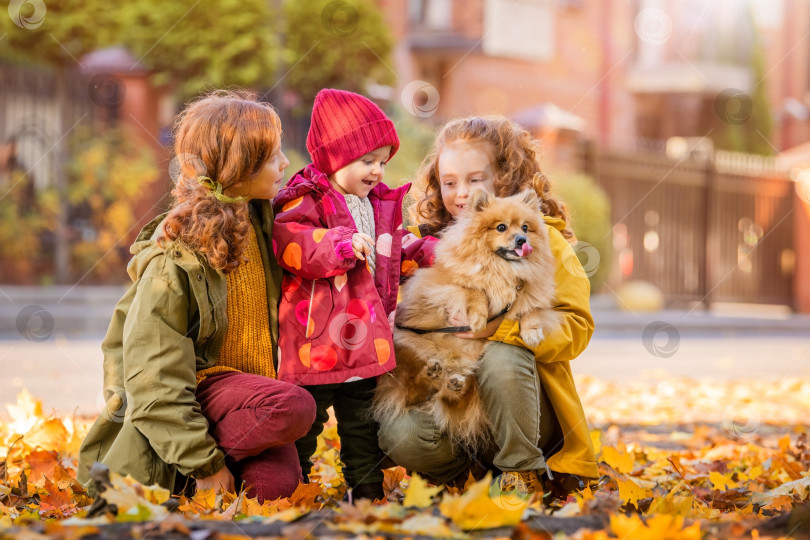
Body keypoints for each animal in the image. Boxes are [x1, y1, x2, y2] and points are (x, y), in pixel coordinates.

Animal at [370, 190, 556, 452]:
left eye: (525, 228)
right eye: (501, 227)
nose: (521, 240)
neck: (503, 269)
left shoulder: (532, 293)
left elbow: (531, 310)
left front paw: (531, 332)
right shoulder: (440, 286)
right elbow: (472, 289)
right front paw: (478, 317)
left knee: (447, 396)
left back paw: (453, 385)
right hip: (404, 345)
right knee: (411, 389)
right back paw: (432, 377)